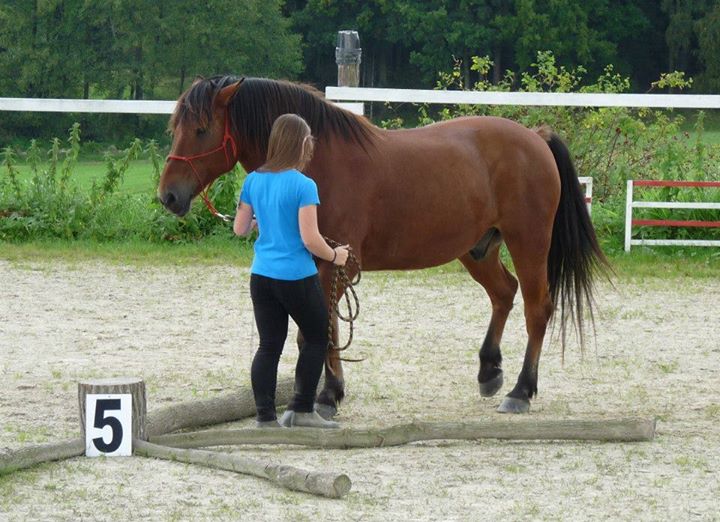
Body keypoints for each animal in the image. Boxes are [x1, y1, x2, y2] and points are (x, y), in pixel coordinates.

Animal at [159, 75, 608, 412]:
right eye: (175, 128)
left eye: (201, 129)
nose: (169, 196)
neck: (319, 161)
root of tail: (534, 137)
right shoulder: (317, 264)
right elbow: (317, 330)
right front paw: (326, 390)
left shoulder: (334, 264)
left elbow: (322, 328)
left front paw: (327, 395)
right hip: (477, 249)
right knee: (504, 293)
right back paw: (489, 372)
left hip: (528, 242)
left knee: (537, 309)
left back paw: (521, 391)